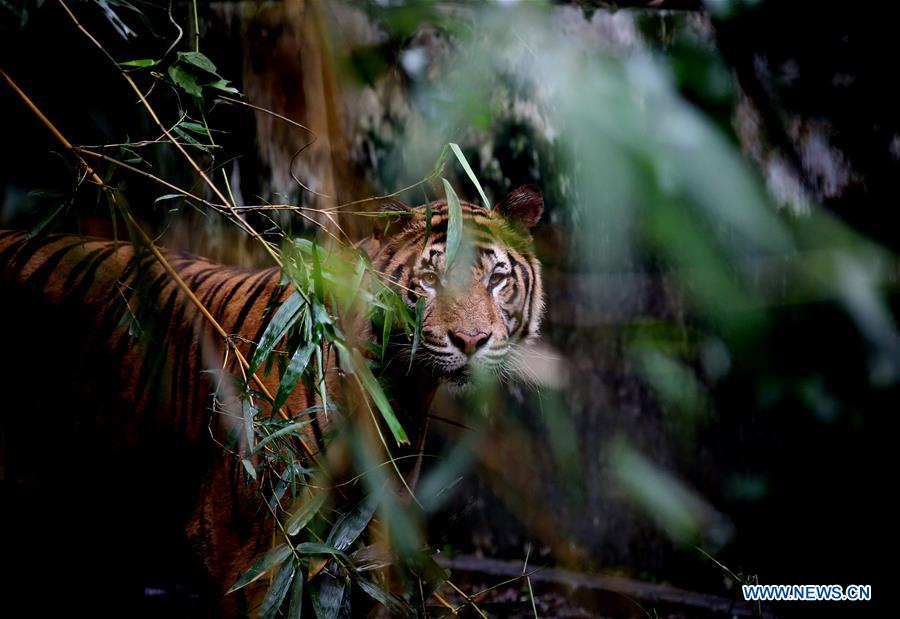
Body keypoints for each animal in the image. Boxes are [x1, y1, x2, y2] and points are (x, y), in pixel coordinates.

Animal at [0, 183, 540, 616]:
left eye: (496, 278)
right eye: (430, 280)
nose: (471, 340)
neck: (401, 390)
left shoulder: (370, 543)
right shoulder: (252, 552)